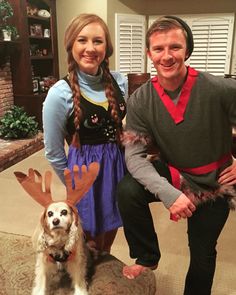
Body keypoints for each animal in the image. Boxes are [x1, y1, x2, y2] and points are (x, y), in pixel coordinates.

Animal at [14, 164, 98, 295]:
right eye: (49, 213)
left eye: (64, 212)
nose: (55, 221)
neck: (59, 241)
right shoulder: (43, 261)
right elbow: (41, 281)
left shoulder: (76, 260)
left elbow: (79, 279)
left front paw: (80, 291)